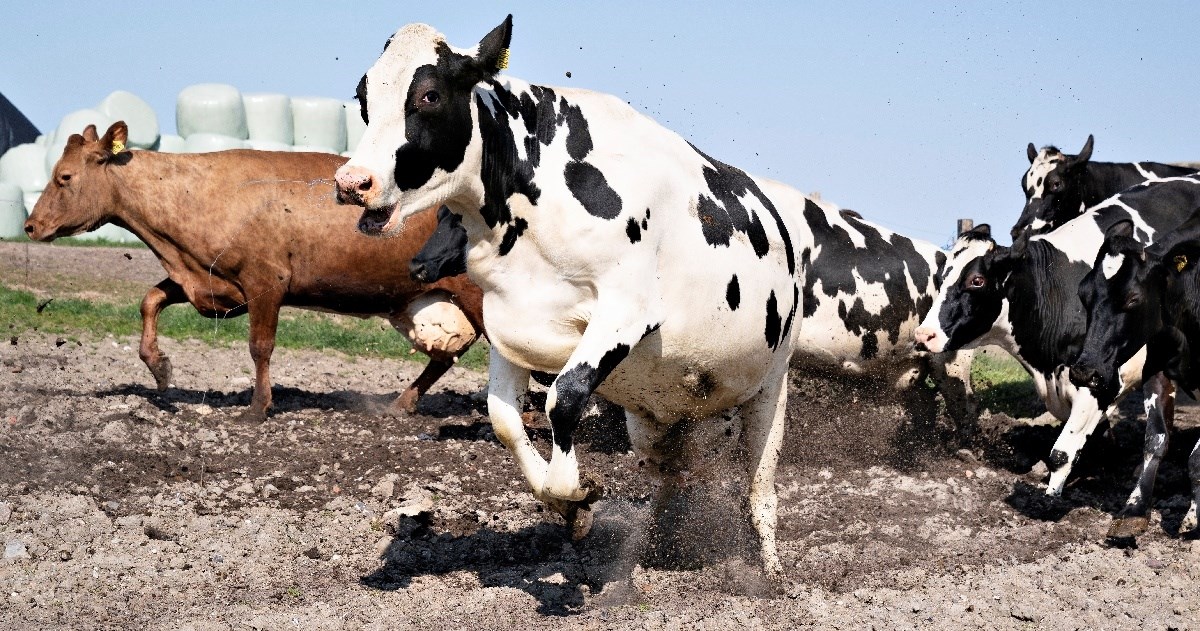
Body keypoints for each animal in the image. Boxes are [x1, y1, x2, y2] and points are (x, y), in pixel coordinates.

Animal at [24, 121, 482, 422]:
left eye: (64, 177)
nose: (30, 226)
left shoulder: (266, 282)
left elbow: (260, 346)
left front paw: (258, 408)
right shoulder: (205, 279)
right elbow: (150, 300)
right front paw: (160, 368)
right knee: (446, 355)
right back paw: (402, 403)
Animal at [331, 14, 816, 578]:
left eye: (429, 95)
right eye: (364, 95)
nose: (352, 182)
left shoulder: (624, 314)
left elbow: (563, 400)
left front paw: (579, 492)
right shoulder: (508, 324)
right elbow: (504, 421)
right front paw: (572, 508)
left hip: (770, 387)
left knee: (759, 486)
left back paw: (771, 574)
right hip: (657, 417)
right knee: (672, 477)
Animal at [912, 175, 1200, 496]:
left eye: (977, 280)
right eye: (941, 277)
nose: (924, 334)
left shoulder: (1097, 383)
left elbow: (1061, 454)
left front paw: (1051, 497)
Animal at [1075, 213, 1200, 539]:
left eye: (1133, 299)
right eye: (1083, 294)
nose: (1085, 370)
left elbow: (1197, 458)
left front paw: (1194, 516)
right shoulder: (1155, 371)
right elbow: (1154, 440)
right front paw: (1134, 509)